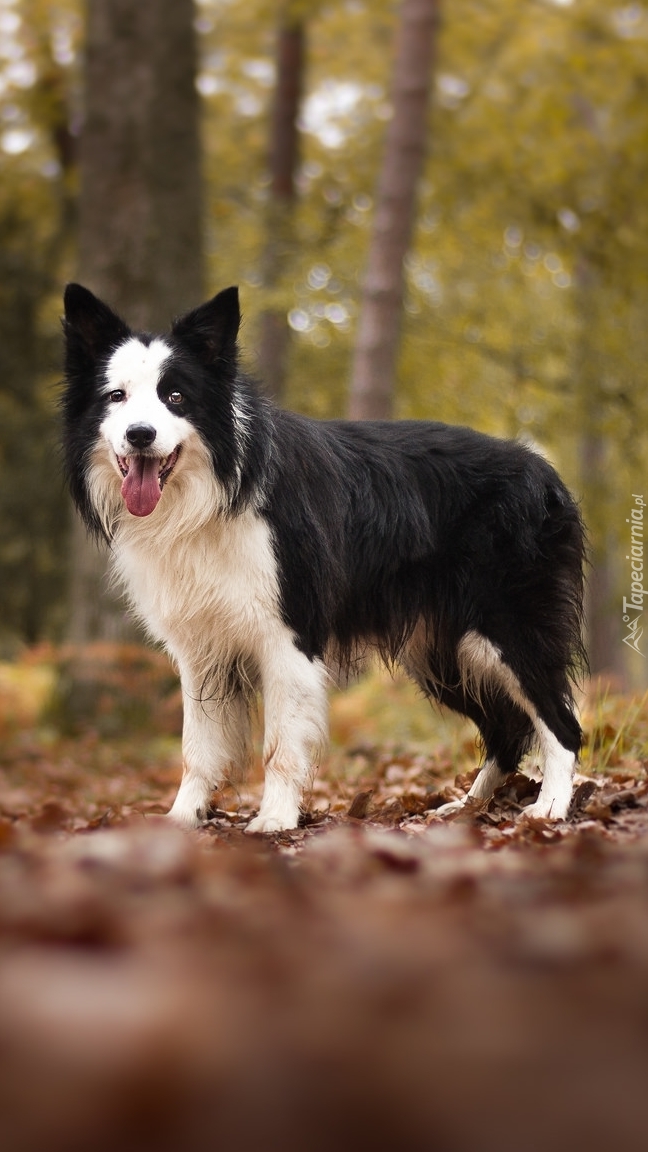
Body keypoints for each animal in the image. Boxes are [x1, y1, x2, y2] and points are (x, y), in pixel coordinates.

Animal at [61, 283, 585, 834]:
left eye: (175, 397)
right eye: (116, 396)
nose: (140, 434)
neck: (212, 494)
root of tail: (547, 474)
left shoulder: (289, 635)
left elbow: (280, 746)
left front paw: (274, 820)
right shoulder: (200, 648)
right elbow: (197, 748)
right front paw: (184, 818)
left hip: (509, 631)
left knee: (561, 723)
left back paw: (550, 807)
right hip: (444, 651)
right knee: (507, 729)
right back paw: (468, 807)